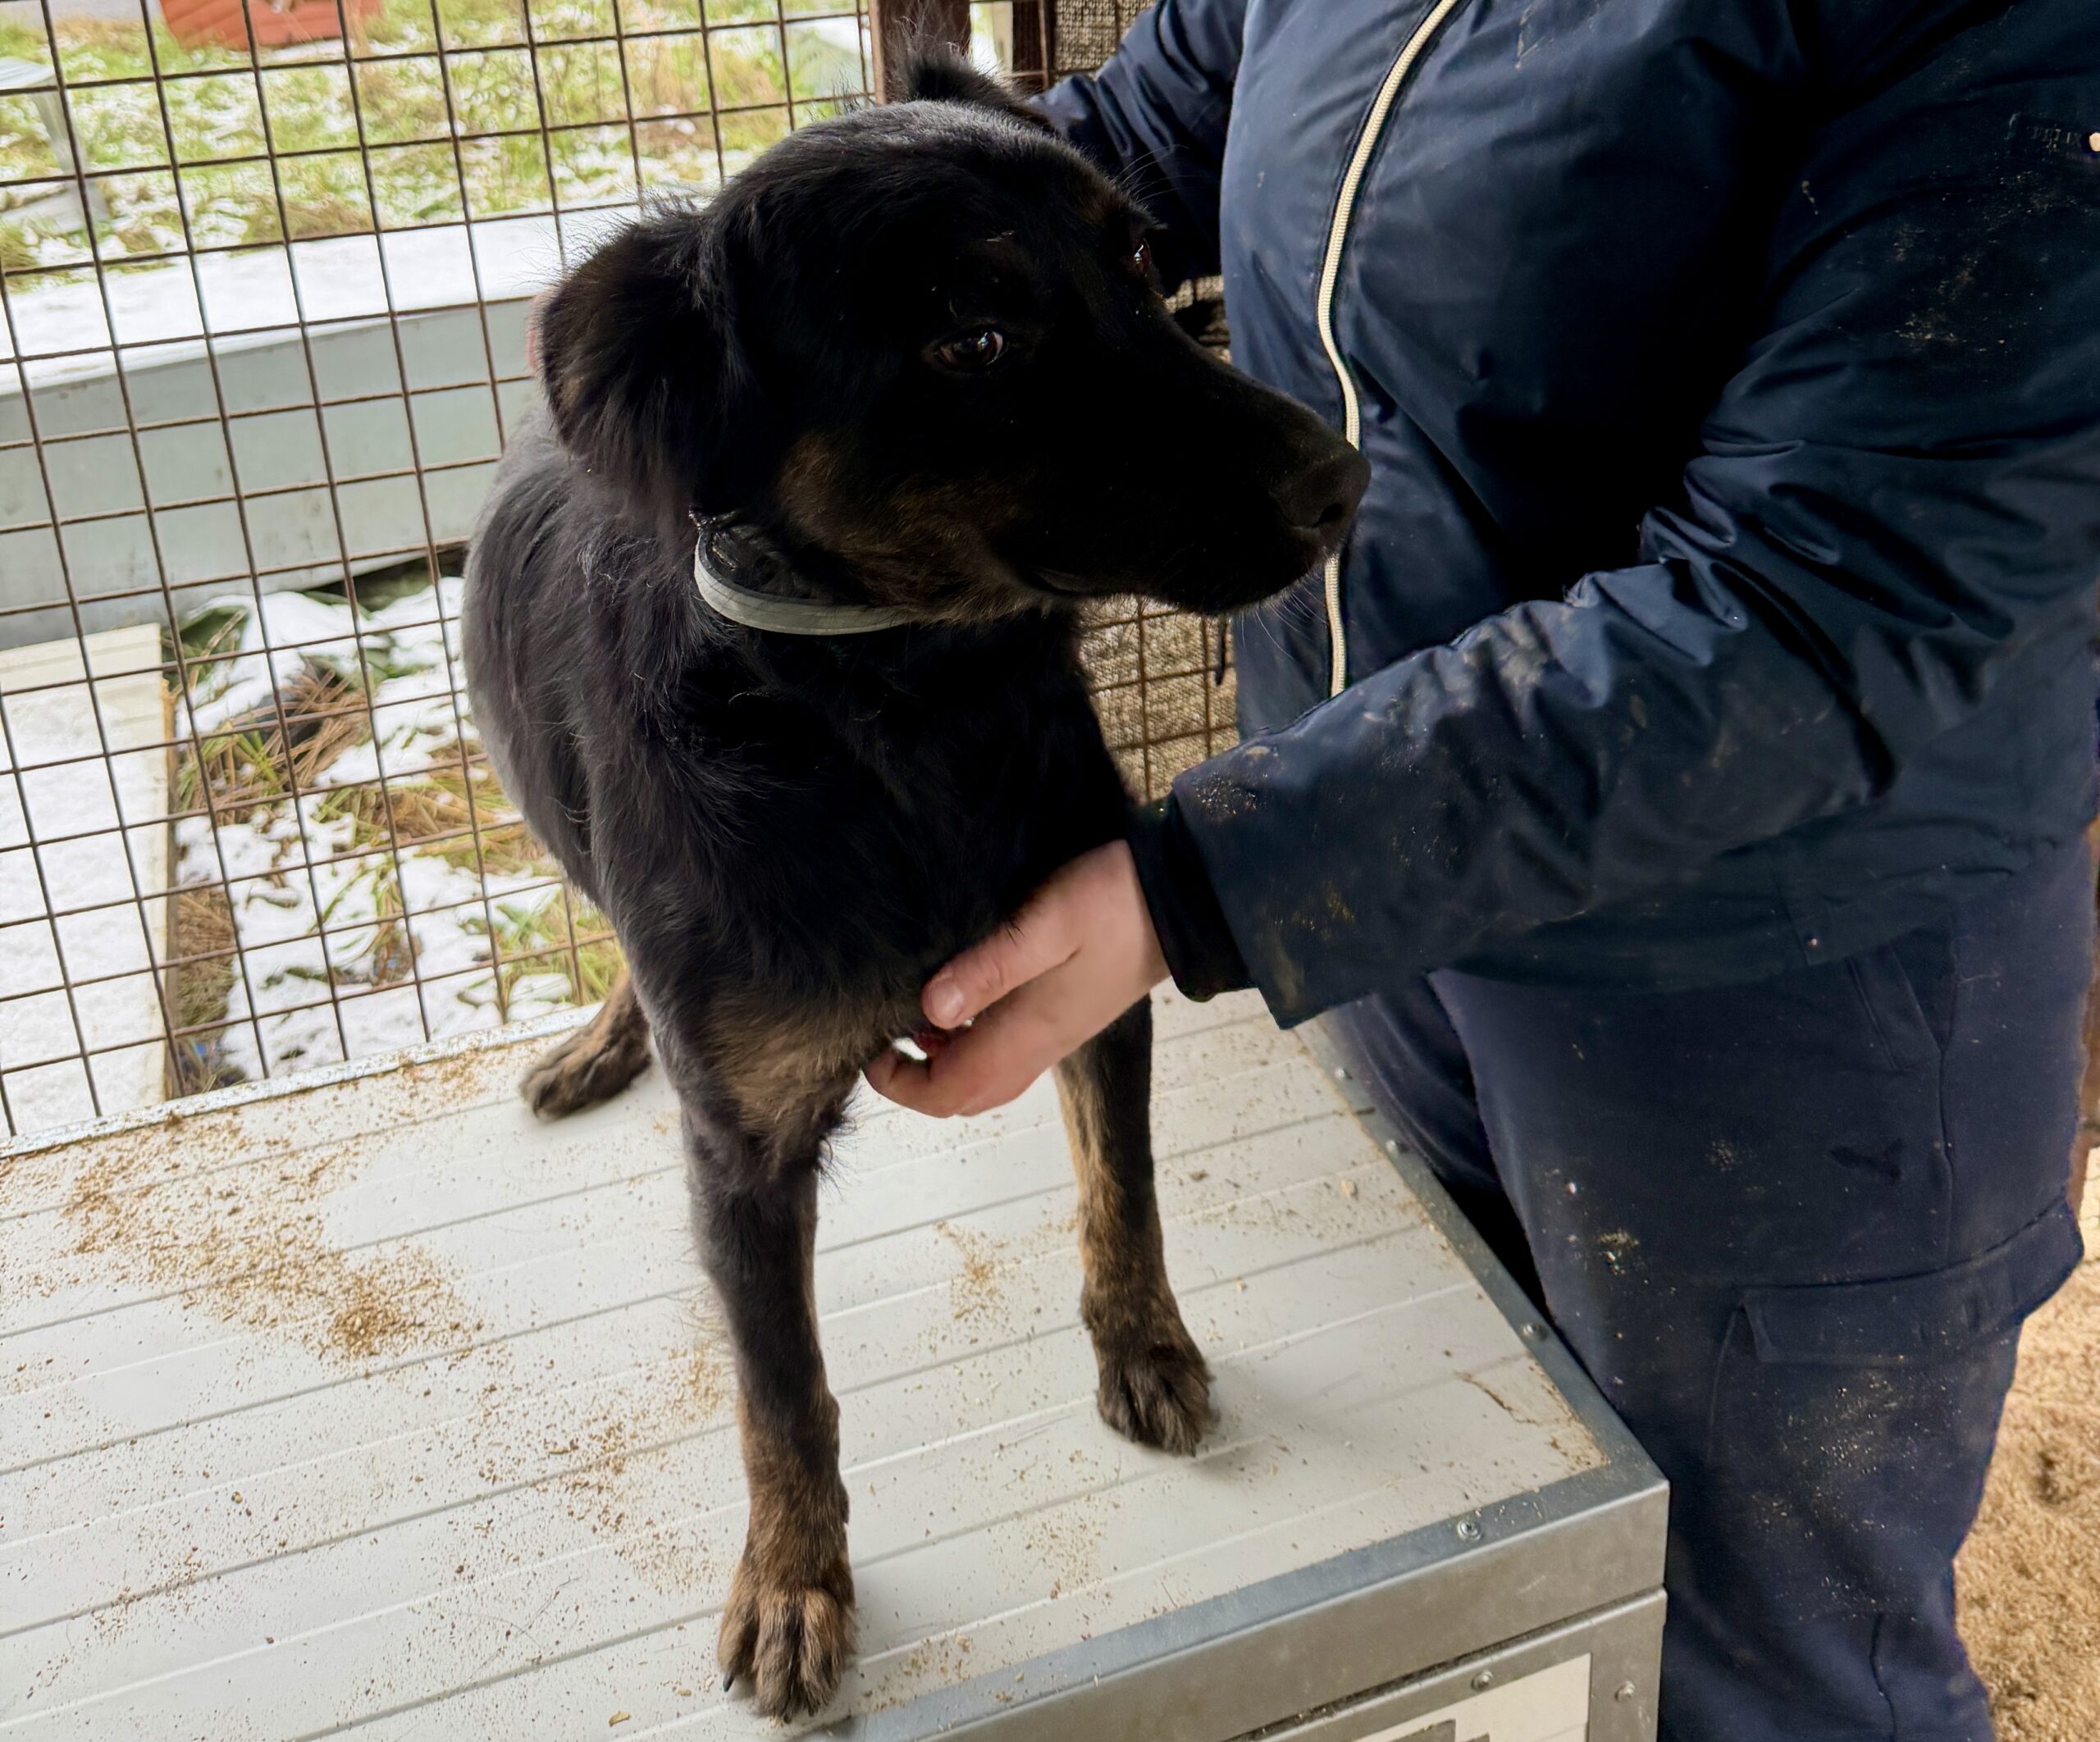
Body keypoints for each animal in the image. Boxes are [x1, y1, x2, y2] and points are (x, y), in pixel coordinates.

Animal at [462, 49, 1367, 1719]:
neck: (910, 706)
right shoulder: (741, 1148)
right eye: (976, 336)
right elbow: (783, 1389)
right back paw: (604, 1039)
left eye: (1140, 262)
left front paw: (1143, 1344)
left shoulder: (1095, 980)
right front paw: (794, 1578)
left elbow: (1122, 1189)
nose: (1346, 480)